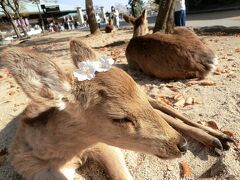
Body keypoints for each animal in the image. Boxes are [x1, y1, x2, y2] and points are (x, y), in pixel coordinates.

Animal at [0, 39, 232, 180]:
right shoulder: (38, 172)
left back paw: (220, 138)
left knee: (163, 107)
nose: (182, 145)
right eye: (120, 118)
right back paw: (219, 140)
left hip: (150, 97)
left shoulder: (105, 145)